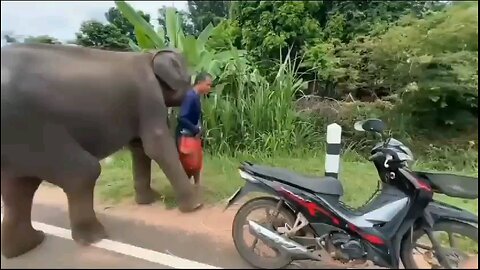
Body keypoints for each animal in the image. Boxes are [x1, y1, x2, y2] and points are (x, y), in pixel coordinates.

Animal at [0, 43, 202, 258]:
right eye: (189, 76)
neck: (149, 54)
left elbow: (139, 147)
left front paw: (148, 200)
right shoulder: (147, 92)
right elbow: (155, 144)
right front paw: (196, 206)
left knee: (19, 188)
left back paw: (27, 245)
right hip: (32, 127)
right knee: (83, 172)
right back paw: (95, 236)